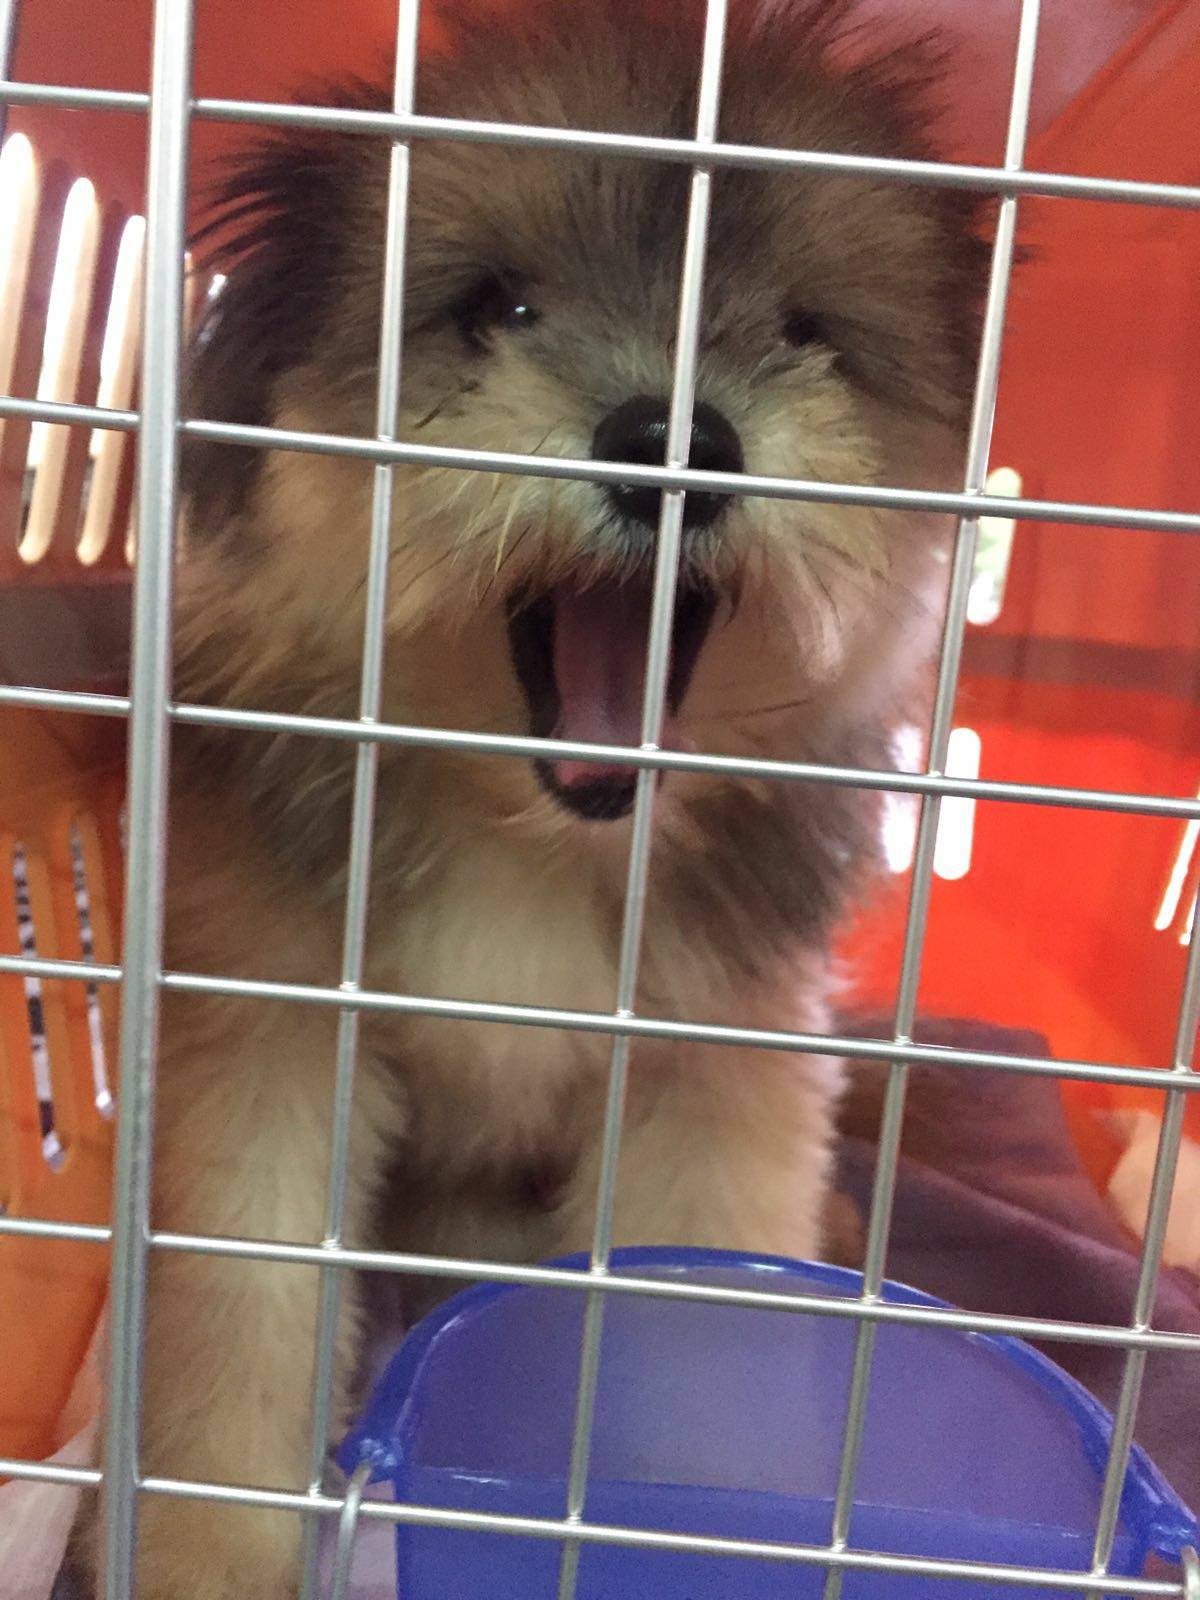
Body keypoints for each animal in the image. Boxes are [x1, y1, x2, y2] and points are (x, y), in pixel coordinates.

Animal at [83, 1, 988, 1592]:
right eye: (497, 307)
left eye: (804, 330)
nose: (676, 444)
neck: (529, 833)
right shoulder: (263, 1056)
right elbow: (233, 1343)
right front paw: (207, 1556)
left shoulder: (713, 1084)